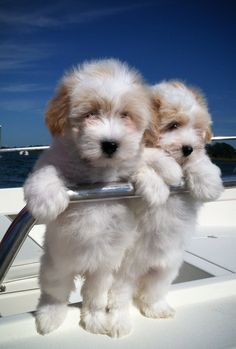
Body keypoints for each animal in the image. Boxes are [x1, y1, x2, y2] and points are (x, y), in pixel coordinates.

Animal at [24, 59, 153, 334]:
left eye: (125, 115)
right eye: (90, 113)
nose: (111, 144)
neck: (96, 168)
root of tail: (82, 267)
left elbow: (142, 166)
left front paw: (154, 183)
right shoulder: (52, 159)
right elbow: (47, 171)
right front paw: (46, 199)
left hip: (102, 272)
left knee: (93, 297)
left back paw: (95, 320)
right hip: (55, 267)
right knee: (54, 293)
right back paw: (49, 317)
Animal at [107, 79, 223, 338]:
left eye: (197, 129)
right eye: (173, 125)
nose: (188, 148)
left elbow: (201, 160)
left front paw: (208, 180)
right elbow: (144, 158)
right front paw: (157, 182)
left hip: (165, 269)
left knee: (152, 292)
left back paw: (156, 309)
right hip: (120, 275)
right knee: (117, 298)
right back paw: (118, 323)